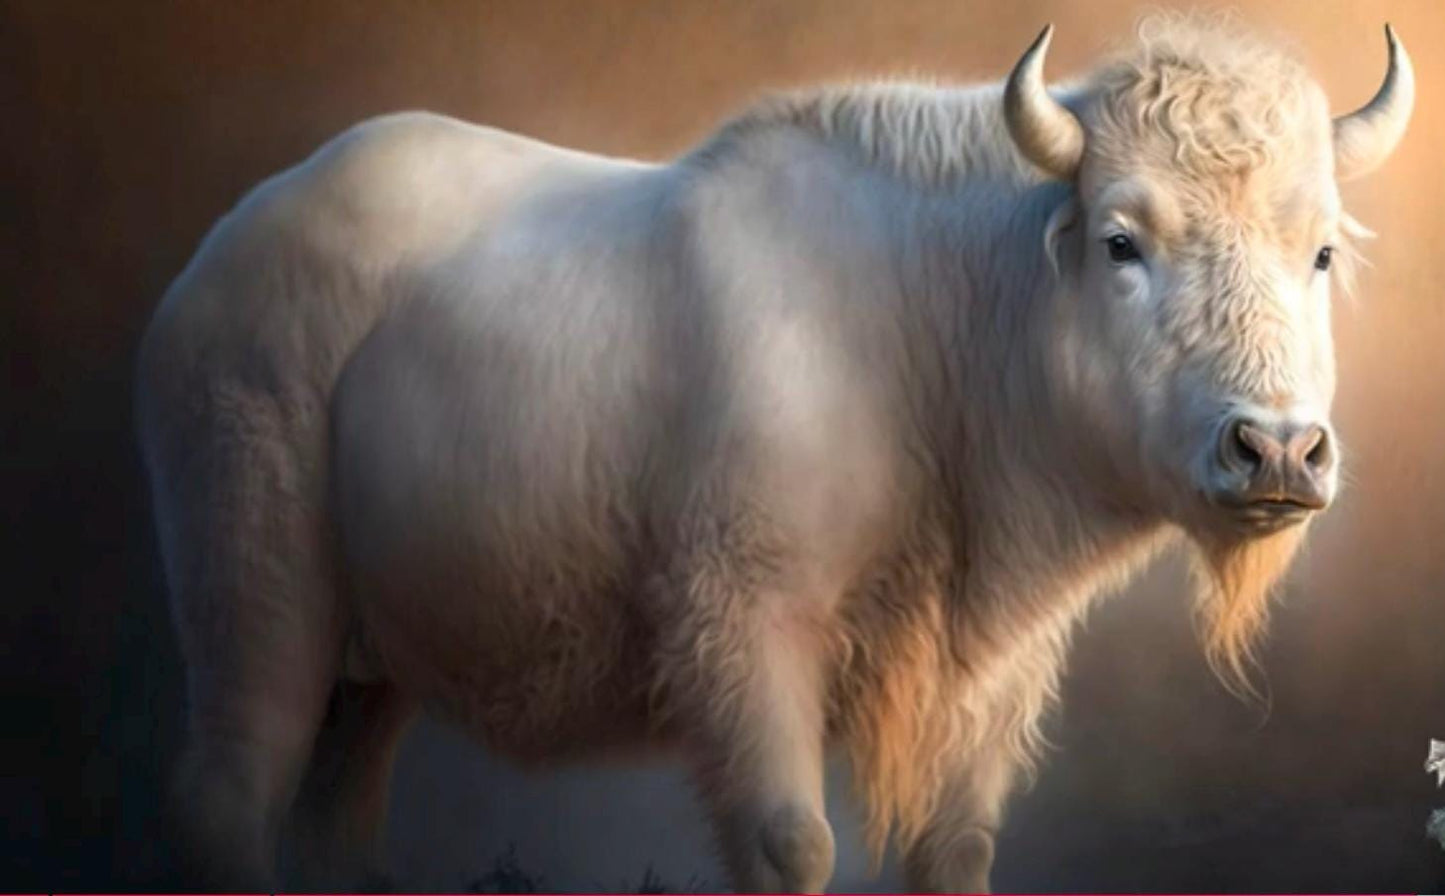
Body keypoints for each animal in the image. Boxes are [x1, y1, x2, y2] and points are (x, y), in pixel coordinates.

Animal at [136, 14, 1413, 893]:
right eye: (1119, 240)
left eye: (1314, 252)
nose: (1274, 448)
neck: (922, 338)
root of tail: (218, 258)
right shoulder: (741, 627)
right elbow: (788, 843)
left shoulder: (988, 683)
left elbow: (953, 847)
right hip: (258, 599)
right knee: (221, 797)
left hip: (374, 672)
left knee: (332, 828)